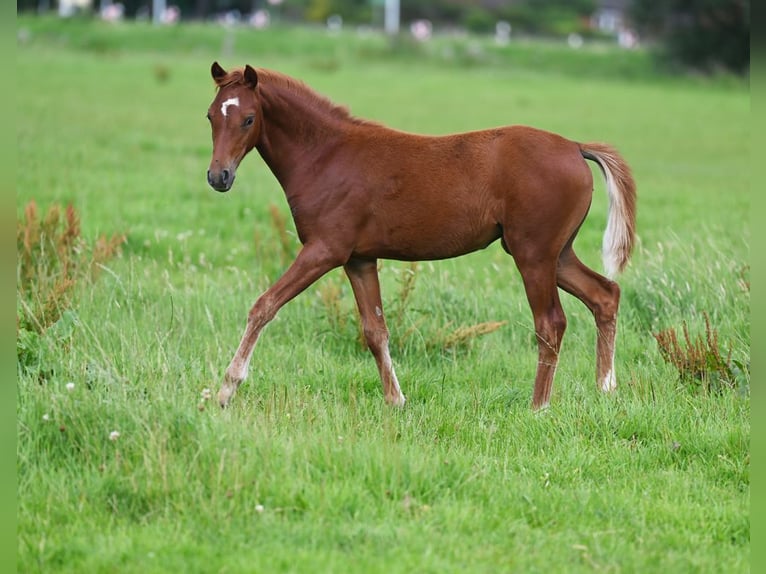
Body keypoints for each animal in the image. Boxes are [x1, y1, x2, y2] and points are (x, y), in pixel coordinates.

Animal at [207, 63, 640, 410]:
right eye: (211, 116)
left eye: (248, 119)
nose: (218, 177)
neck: (326, 157)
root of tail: (575, 147)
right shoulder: (359, 259)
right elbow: (375, 331)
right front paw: (396, 400)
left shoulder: (325, 250)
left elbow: (264, 305)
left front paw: (226, 388)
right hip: (556, 254)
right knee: (605, 295)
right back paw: (605, 389)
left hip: (533, 255)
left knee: (550, 323)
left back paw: (539, 406)